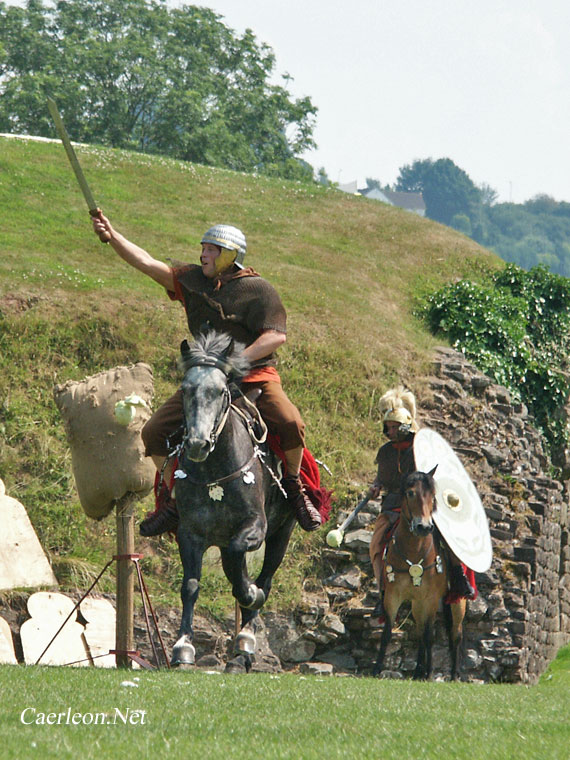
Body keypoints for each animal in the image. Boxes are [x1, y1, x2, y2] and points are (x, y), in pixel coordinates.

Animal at [169, 332, 296, 672]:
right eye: (185, 389)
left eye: (220, 391)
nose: (197, 444)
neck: (216, 472)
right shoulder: (189, 533)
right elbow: (190, 586)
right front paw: (182, 647)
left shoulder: (256, 527)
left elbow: (242, 566)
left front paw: (249, 595)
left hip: (283, 531)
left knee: (266, 577)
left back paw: (246, 640)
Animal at [370, 470, 464, 684]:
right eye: (411, 493)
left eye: (433, 496)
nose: (424, 527)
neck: (414, 551)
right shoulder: (393, 596)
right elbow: (387, 633)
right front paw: (376, 669)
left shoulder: (430, 600)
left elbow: (430, 636)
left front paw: (430, 672)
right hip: (416, 604)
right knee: (420, 632)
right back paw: (417, 672)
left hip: (457, 603)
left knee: (455, 633)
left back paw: (453, 674)